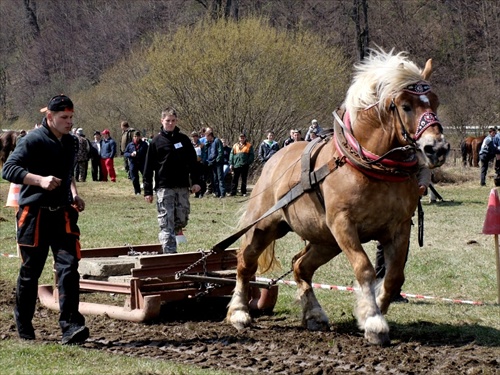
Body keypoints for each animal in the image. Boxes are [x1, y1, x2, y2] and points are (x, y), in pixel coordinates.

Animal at [227, 50, 450, 346]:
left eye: (434, 102)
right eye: (405, 106)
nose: (437, 148)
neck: (369, 166)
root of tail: (275, 158)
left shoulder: (400, 227)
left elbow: (393, 277)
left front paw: (375, 309)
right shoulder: (343, 224)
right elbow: (364, 268)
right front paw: (373, 320)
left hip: (326, 240)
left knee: (300, 267)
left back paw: (314, 315)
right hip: (266, 225)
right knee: (245, 262)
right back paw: (239, 313)